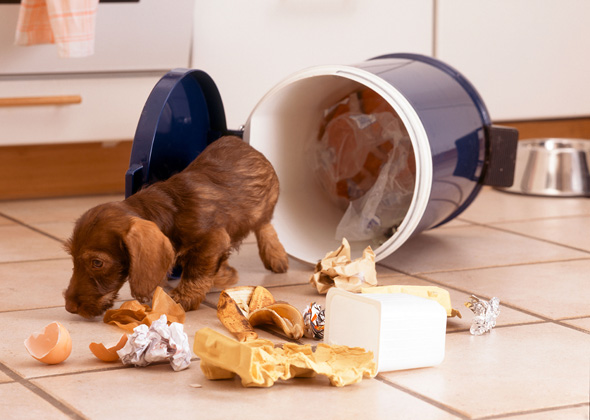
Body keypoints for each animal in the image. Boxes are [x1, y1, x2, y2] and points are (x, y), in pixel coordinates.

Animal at [63, 137, 290, 318]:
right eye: (72, 257)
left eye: (97, 263)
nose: (69, 308)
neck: (169, 211)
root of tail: (245, 144)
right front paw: (224, 273)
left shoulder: (212, 239)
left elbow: (196, 271)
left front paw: (183, 297)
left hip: (261, 208)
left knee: (265, 226)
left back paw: (275, 255)